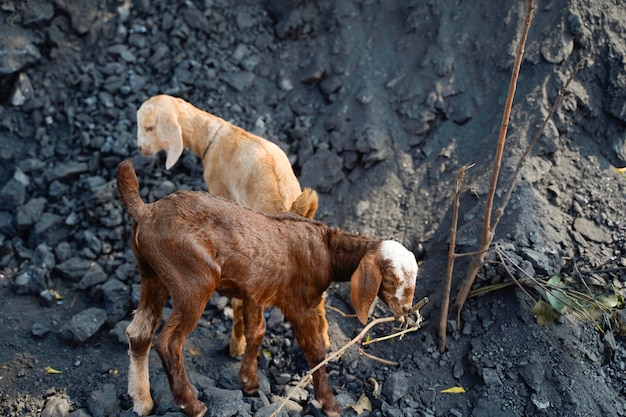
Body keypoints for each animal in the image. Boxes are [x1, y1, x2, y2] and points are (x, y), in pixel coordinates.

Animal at [117, 159, 420, 416]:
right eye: (390, 279)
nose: (406, 309)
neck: (328, 248)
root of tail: (147, 211)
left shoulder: (254, 290)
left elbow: (257, 332)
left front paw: (248, 380)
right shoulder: (300, 302)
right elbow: (314, 349)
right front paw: (329, 402)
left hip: (152, 273)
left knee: (139, 333)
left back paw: (142, 401)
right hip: (192, 279)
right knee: (169, 342)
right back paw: (192, 404)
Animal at [133, 94, 326, 354]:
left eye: (149, 127)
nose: (141, 149)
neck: (215, 136)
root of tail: (291, 207)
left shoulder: (220, 189)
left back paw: (236, 344)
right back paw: (325, 341)